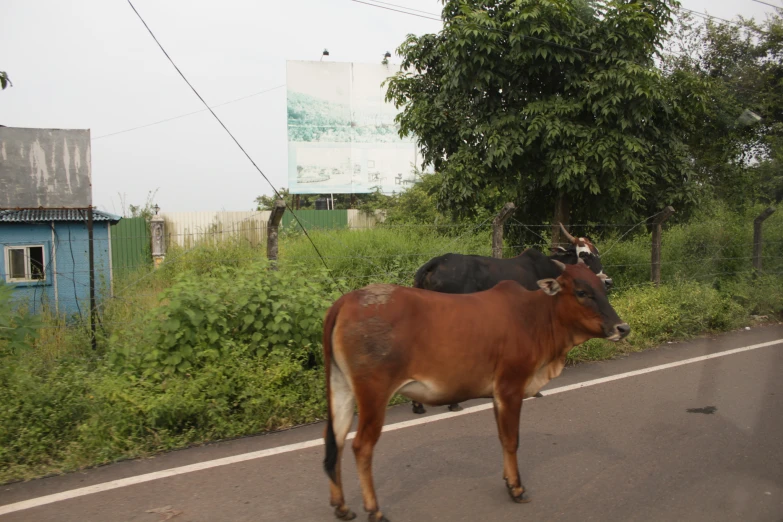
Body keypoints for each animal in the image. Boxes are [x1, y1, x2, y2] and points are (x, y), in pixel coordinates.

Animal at [322, 262, 628, 516]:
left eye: (602, 288)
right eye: (581, 292)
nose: (622, 328)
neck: (536, 318)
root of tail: (345, 301)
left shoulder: (497, 394)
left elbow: (503, 438)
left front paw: (508, 481)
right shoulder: (510, 387)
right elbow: (512, 440)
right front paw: (516, 489)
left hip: (340, 387)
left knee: (336, 439)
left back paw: (341, 506)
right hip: (373, 393)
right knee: (361, 446)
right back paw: (374, 510)